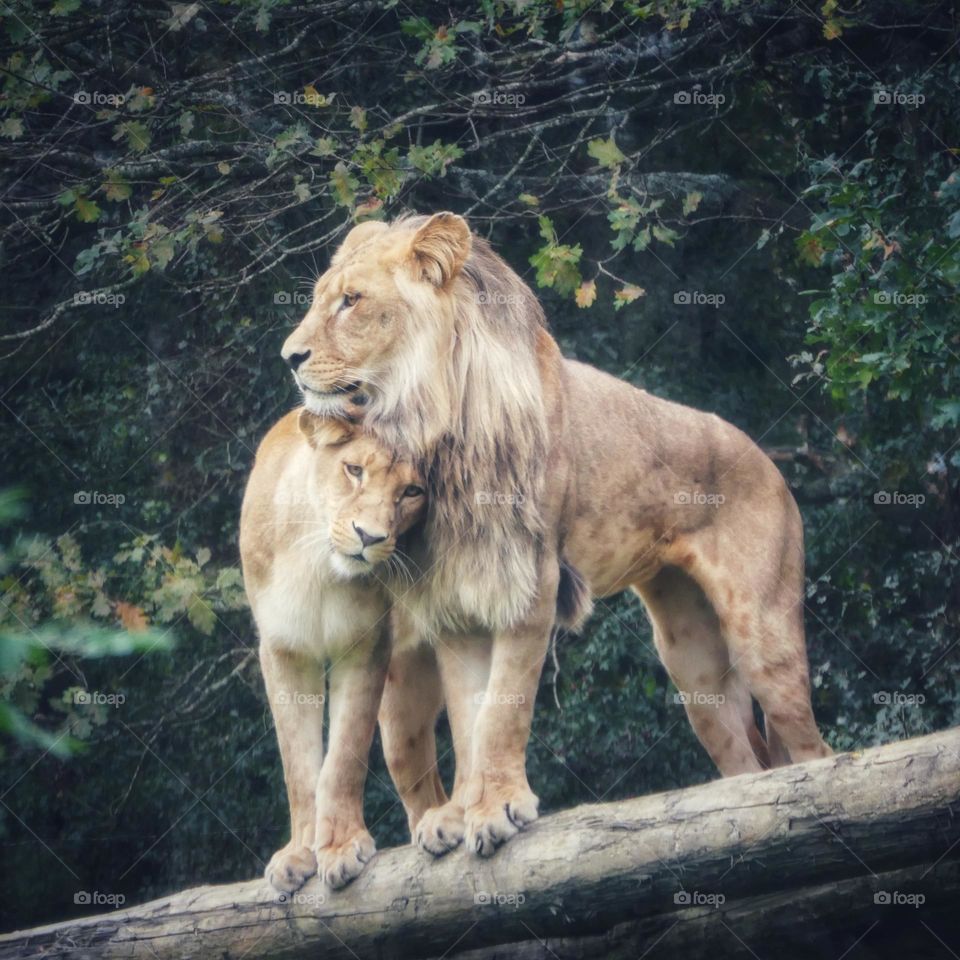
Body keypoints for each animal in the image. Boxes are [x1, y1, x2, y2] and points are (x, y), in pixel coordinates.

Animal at [239, 406, 424, 892]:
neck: (319, 566)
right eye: (354, 470)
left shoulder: (367, 648)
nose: (369, 537)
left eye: (411, 491)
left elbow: (344, 754)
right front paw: (298, 855)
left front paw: (340, 847)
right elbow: (299, 765)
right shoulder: (283, 651)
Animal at [280, 214, 832, 868]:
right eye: (321, 296)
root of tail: (769, 459)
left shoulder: (530, 580)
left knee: (815, 753)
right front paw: (468, 811)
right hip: (693, 664)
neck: (441, 431)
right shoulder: (456, 596)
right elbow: (470, 717)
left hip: (762, 633)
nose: (290, 357)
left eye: (352, 300)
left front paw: (495, 809)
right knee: (746, 766)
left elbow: (504, 708)